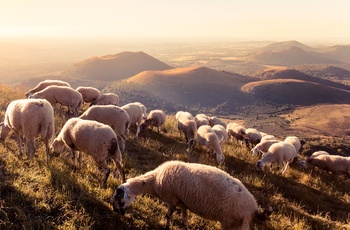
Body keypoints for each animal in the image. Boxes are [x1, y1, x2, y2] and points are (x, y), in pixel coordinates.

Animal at [112, 160, 268, 230]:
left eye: (119, 199)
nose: (116, 212)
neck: (154, 180)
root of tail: (254, 208)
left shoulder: (172, 200)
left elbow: (168, 215)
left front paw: (166, 226)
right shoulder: (183, 203)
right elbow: (184, 219)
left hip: (231, 222)